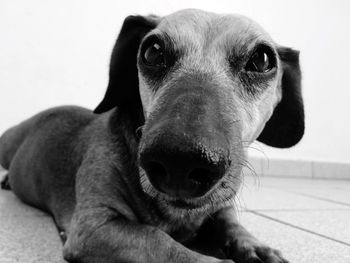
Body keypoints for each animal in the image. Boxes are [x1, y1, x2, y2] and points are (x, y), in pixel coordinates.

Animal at [0, 8, 304, 263]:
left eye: (261, 59)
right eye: (152, 51)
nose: (180, 161)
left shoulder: (220, 206)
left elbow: (231, 224)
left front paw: (257, 246)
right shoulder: (94, 228)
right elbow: (159, 239)